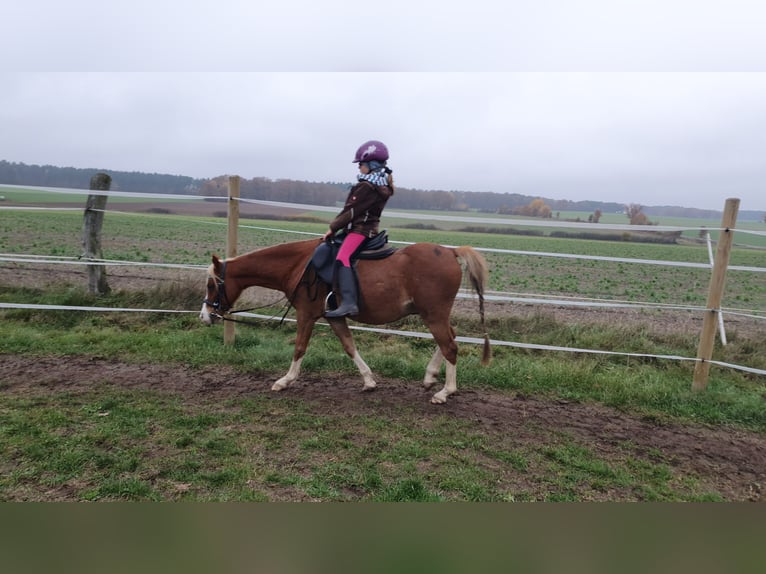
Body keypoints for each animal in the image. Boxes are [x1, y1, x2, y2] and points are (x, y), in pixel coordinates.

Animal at [199, 237, 491, 404]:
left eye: (211, 285)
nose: (204, 316)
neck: (300, 266)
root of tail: (451, 251)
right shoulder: (334, 318)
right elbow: (349, 346)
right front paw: (369, 381)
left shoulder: (307, 315)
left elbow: (299, 347)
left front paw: (285, 380)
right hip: (433, 314)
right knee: (449, 339)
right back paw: (431, 377)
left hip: (433, 314)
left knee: (450, 345)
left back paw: (445, 392)